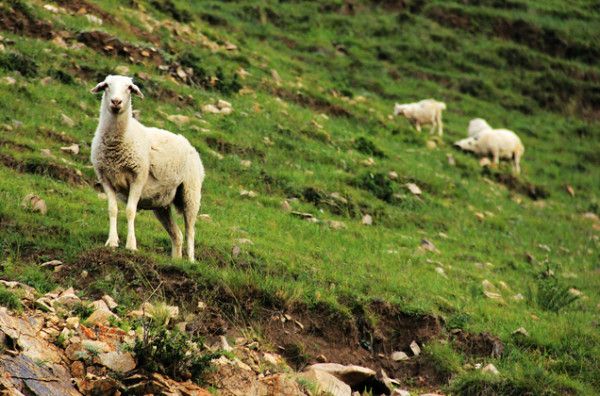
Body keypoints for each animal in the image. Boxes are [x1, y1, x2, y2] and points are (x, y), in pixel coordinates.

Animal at [89, 74, 205, 262]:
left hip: (191, 192)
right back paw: (176, 261)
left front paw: (131, 245)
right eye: (106, 85)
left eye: (129, 88)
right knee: (177, 235)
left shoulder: (138, 177)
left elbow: (130, 211)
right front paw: (112, 242)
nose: (116, 102)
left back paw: (191, 261)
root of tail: (189, 145)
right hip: (161, 204)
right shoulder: (105, 178)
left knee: (190, 231)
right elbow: (112, 210)